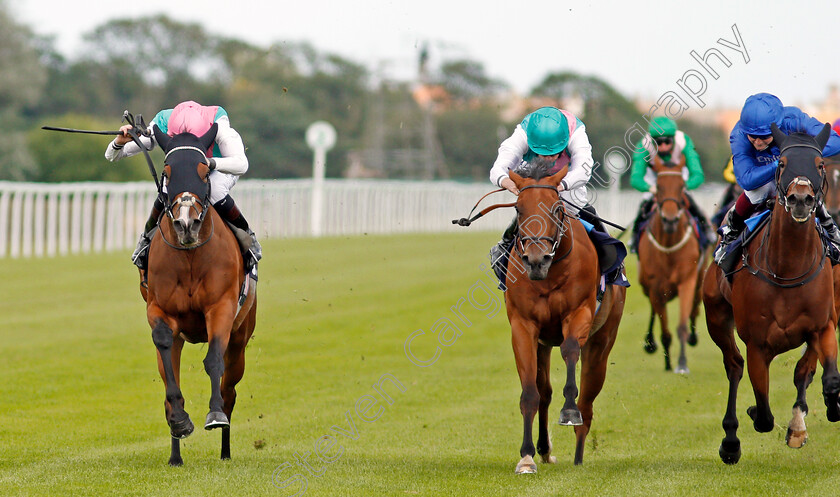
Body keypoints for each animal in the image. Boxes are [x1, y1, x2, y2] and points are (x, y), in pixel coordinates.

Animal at [143, 124, 258, 464]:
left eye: (204, 170)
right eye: (167, 171)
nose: (186, 223)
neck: (191, 256)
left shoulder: (221, 308)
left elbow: (213, 360)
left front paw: (214, 414)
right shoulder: (158, 309)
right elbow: (167, 363)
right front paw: (180, 421)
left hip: (241, 339)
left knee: (230, 389)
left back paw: (225, 450)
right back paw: (175, 454)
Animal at [506, 165, 624, 470]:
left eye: (557, 208)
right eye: (518, 208)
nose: (536, 260)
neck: (549, 276)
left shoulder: (579, 312)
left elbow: (570, 349)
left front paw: (568, 410)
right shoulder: (523, 326)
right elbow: (531, 393)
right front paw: (527, 456)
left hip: (602, 342)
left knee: (588, 402)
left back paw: (579, 456)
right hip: (544, 344)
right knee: (544, 392)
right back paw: (544, 449)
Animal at [640, 155, 704, 372]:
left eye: (682, 186)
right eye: (659, 186)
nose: (670, 220)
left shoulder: (687, 281)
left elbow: (682, 325)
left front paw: (682, 363)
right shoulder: (655, 288)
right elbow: (665, 331)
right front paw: (668, 363)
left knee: (695, 306)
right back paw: (650, 343)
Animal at [704, 122, 840, 464]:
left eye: (819, 165)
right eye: (782, 164)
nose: (801, 199)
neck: (787, 267)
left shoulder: (823, 325)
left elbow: (827, 378)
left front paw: (829, 409)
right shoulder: (757, 343)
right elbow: (764, 413)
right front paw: (752, 413)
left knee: (803, 370)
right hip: (716, 318)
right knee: (734, 366)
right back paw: (730, 441)